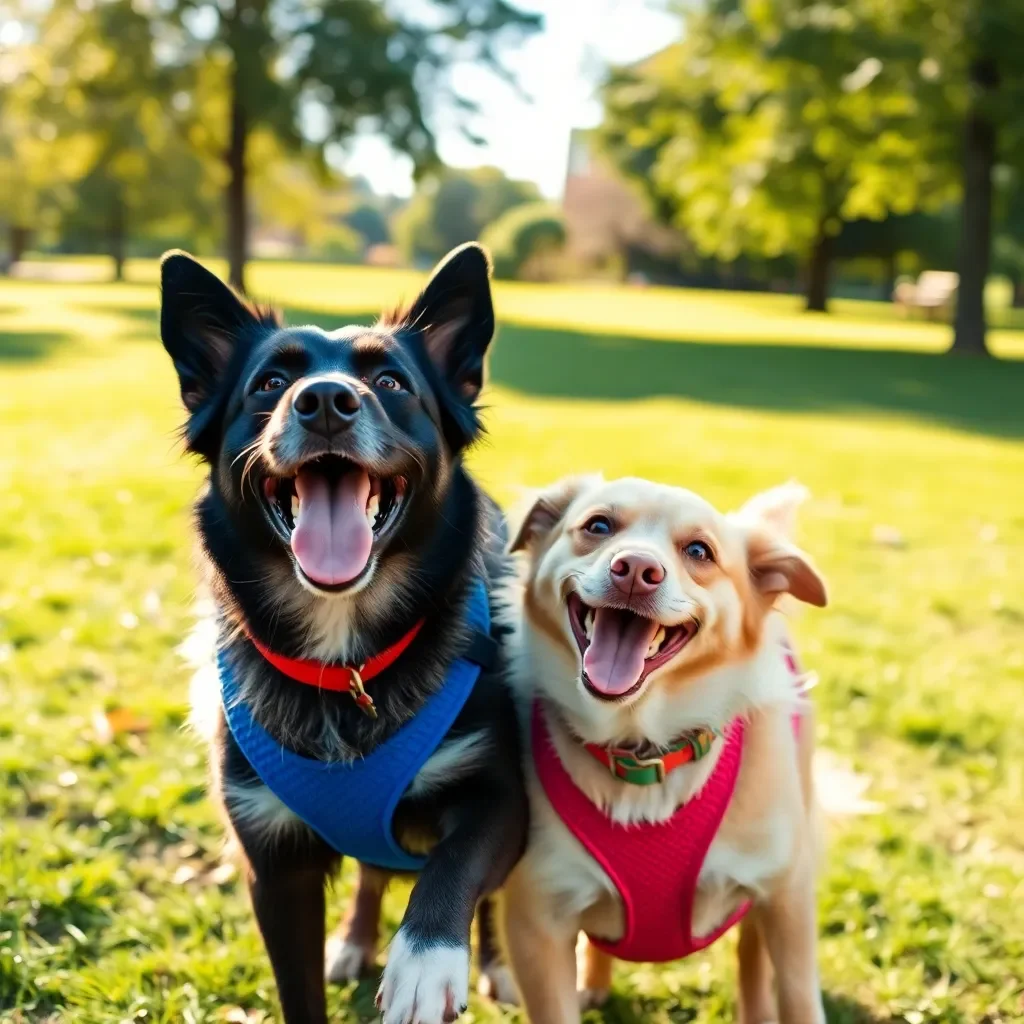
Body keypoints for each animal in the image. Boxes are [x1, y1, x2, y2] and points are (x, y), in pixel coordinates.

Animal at [161, 243, 528, 1019]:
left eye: (391, 382)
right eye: (270, 383)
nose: (326, 400)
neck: (348, 663)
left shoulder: (501, 796)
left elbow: (453, 869)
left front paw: (426, 959)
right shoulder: (273, 866)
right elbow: (298, 985)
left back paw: (494, 965)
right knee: (372, 874)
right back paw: (356, 942)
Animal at [499, 477, 827, 1024]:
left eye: (698, 551)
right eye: (598, 525)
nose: (635, 569)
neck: (642, 752)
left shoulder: (788, 898)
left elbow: (797, 996)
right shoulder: (537, 927)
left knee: (751, 952)